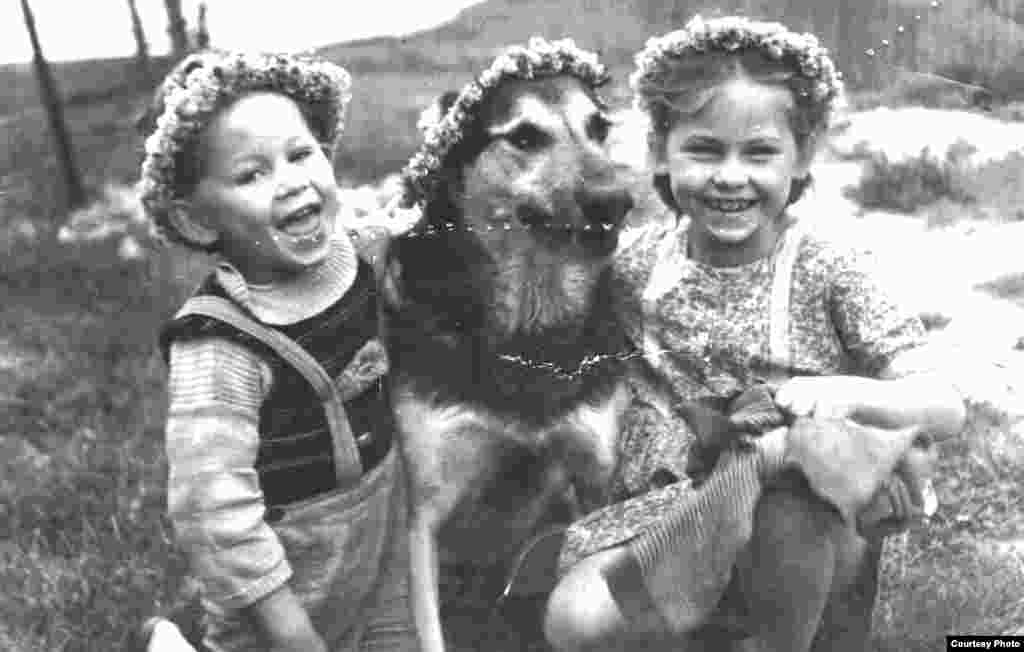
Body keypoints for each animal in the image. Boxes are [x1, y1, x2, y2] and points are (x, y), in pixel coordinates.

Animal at [385, 73, 634, 646]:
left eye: (599, 128)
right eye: (523, 137)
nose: (616, 201)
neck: (527, 333)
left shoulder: (595, 479)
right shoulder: (422, 519)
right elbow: (428, 631)